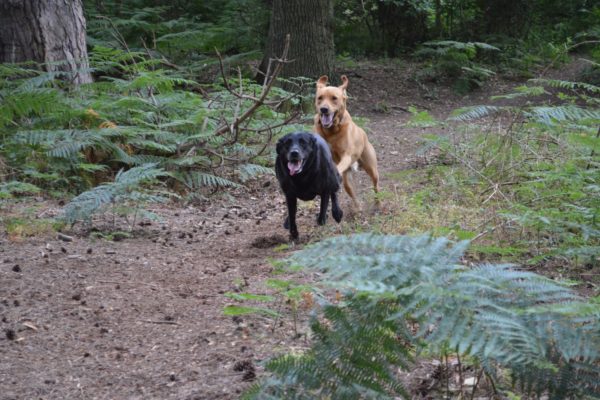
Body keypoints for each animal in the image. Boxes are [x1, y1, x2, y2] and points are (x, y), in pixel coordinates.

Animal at [314, 76, 380, 211]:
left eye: (334, 98)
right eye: (320, 98)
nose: (324, 109)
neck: (331, 131)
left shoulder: (346, 156)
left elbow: (339, 166)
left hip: (371, 168)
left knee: (376, 185)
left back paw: (378, 204)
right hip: (347, 179)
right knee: (351, 190)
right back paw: (358, 208)